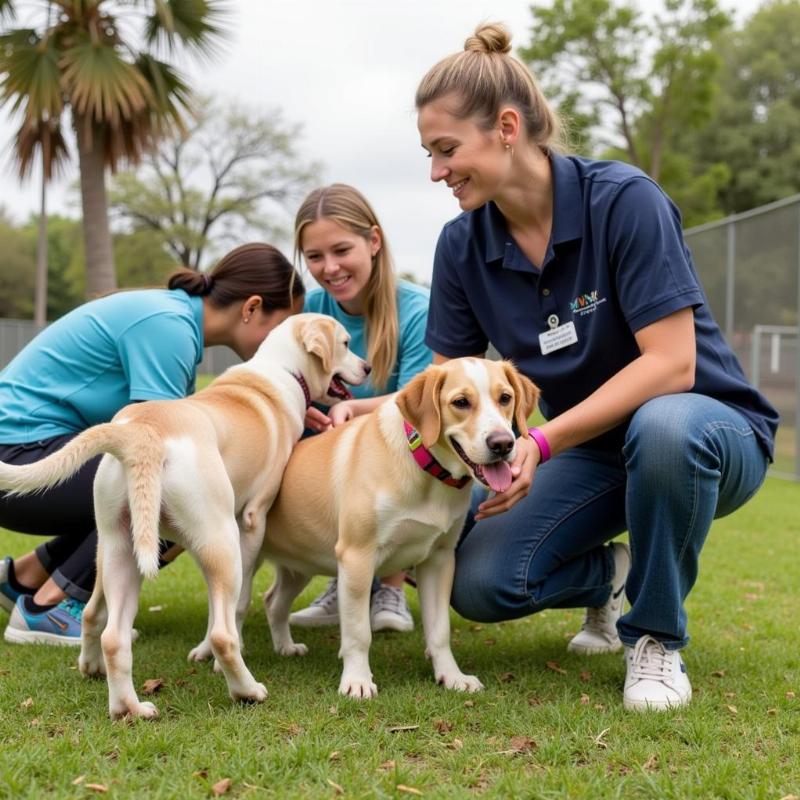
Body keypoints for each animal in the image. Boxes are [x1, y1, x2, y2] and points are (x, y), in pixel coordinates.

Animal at [0, 314, 370, 720]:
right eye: (346, 343)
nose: (368, 367)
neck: (282, 369)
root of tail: (141, 432)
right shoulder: (250, 522)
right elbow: (236, 607)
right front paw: (215, 656)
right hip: (219, 540)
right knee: (224, 633)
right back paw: (247, 690)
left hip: (118, 548)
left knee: (104, 626)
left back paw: (124, 702)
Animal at [260, 360, 540, 696]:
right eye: (461, 402)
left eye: (505, 398)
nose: (503, 444)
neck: (426, 470)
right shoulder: (357, 557)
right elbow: (358, 632)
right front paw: (357, 680)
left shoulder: (439, 559)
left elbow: (439, 631)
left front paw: (451, 676)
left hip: (299, 566)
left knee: (273, 602)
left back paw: (284, 647)